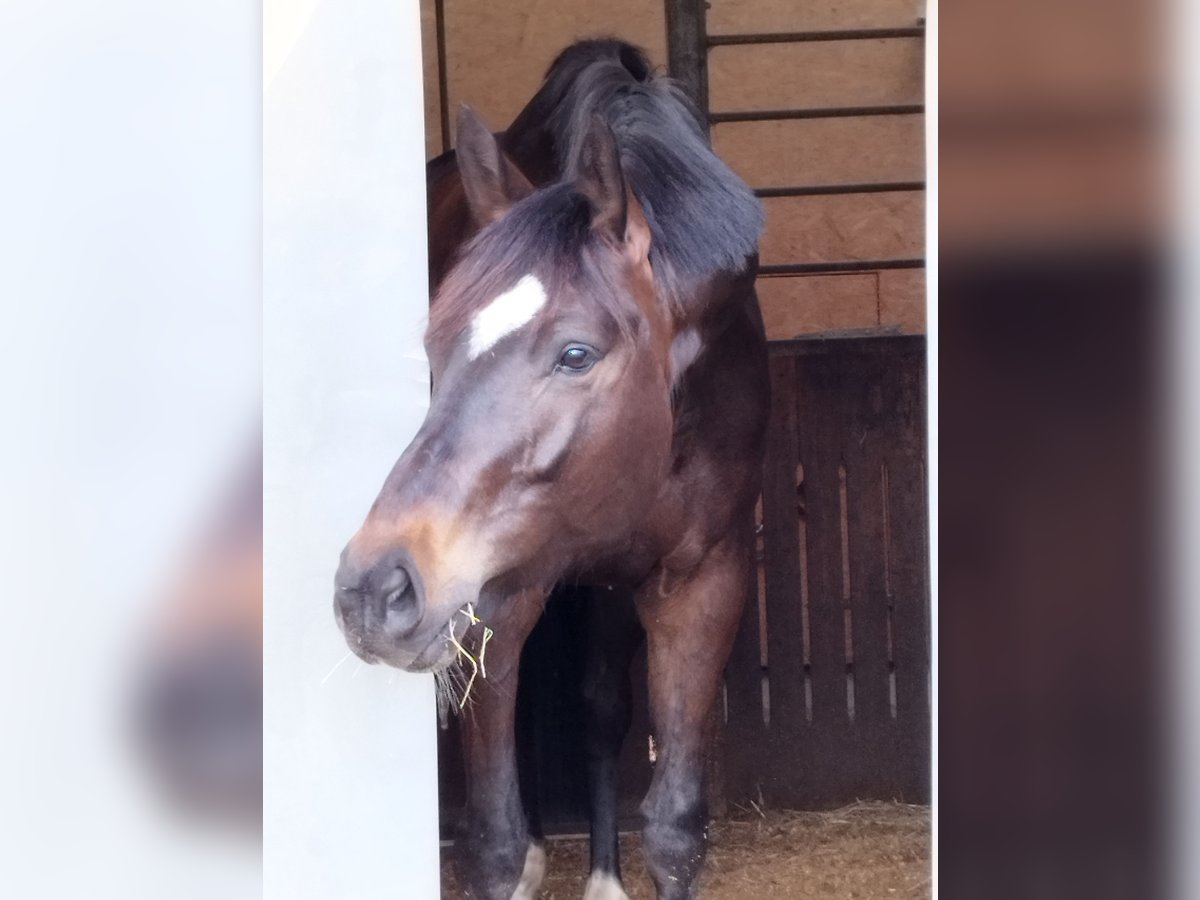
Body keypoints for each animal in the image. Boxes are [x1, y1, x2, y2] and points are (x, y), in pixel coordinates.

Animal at [338, 40, 768, 900]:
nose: (374, 588)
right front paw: (525, 852)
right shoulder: (499, 597)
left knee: (597, 707)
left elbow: (675, 829)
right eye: (432, 348)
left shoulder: (704, 582)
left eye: (576, 353)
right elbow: (494, 840)